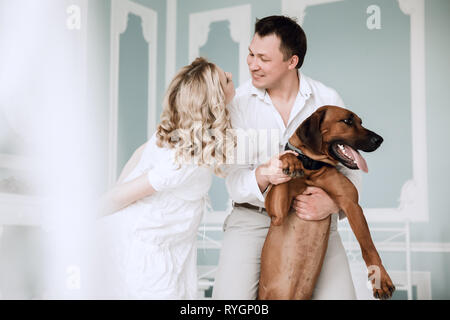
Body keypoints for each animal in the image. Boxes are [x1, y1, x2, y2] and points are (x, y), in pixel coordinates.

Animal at [258, 105, 396, 300]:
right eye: (347, 121)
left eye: (360, 121)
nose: (379, 140)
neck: (311, 167)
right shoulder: (277, 213)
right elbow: (285, 163)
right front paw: (290, 161)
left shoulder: (351, 204)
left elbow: (368, 247)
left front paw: (381, 280)